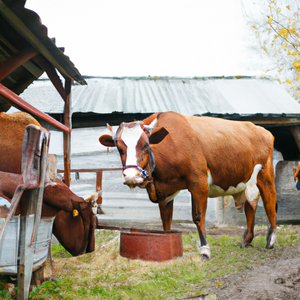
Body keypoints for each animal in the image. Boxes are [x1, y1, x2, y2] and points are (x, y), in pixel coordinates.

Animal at [99, 111, 278, 258]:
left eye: (146, 145)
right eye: (119, 148)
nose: (131, 176)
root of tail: (261, 130)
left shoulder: (199, 183)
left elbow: (198, 217)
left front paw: (205, 250)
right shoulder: (165, 191)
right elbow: (166, 220)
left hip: (265, 174)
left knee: (270, 201)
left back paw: (271, 239)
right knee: (250, 206)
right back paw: (247, 240)